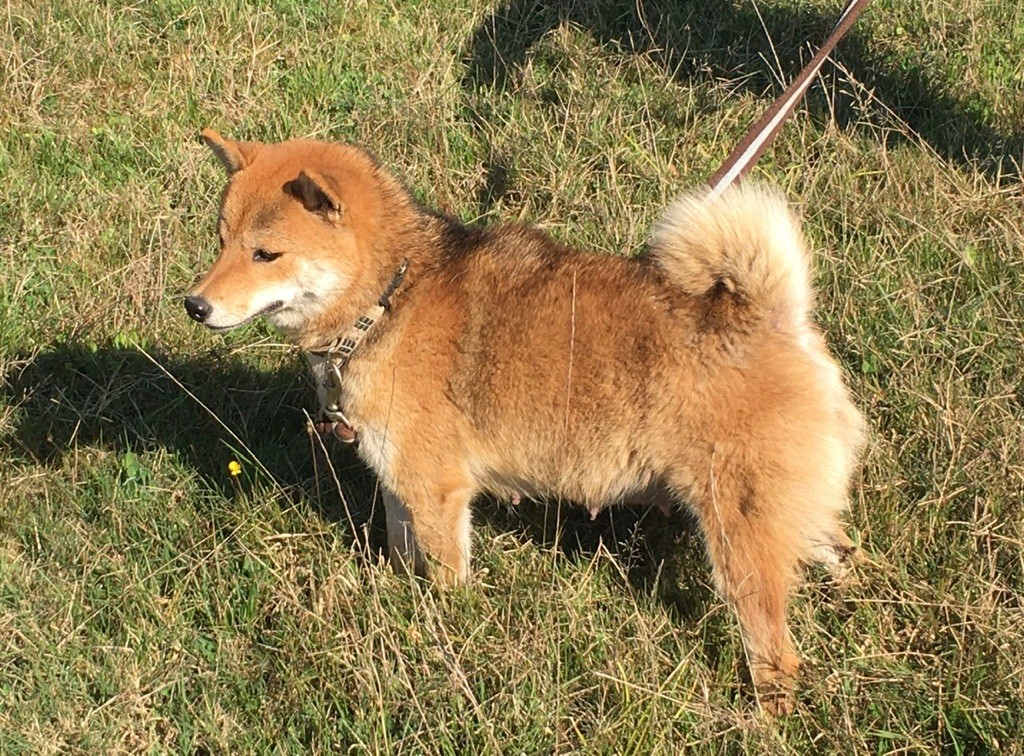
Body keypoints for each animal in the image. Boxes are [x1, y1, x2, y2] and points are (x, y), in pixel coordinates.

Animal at [184, 129, 864, 712]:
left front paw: (446, 638)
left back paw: (763, 716)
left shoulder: (438, 492)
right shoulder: (402, 488)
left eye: (265, 254)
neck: (388, 300)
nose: (195, 305)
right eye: (219, 240)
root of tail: (774, 319)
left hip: (738, 540)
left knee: (777, 652)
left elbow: (447, 584)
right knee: (840, 554)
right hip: (791, 517)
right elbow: (405, 560)